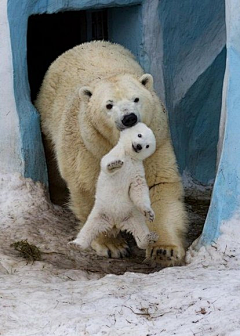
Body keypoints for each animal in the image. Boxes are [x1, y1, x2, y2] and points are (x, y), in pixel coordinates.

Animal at [35, 40, 188, 266]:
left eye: (136, 99)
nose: (129, 118)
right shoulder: (89, 148)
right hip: (48, 117)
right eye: (109, 105)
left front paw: (164, 250)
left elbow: (157, 184)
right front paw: (112, 245)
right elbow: (89, 188)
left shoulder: (157, 142)